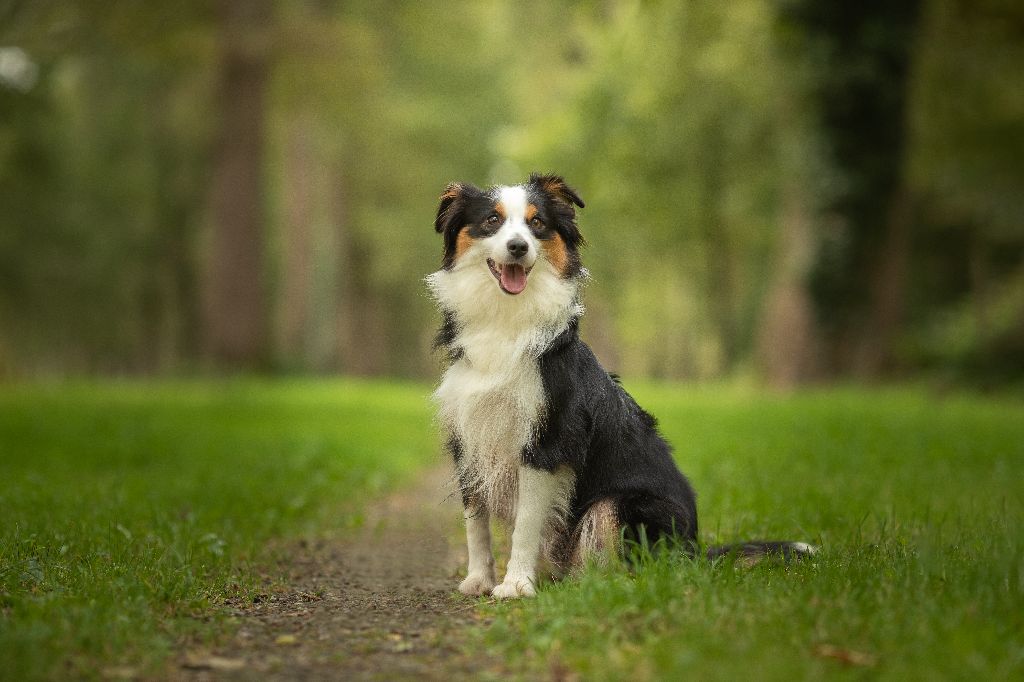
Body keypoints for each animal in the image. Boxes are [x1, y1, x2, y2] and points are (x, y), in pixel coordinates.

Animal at [425, 174, 815, 593]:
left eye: (537, 223)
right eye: (492, 220)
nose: (519, 247)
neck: (506, 318)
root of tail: (695, 550)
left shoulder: (547, 441)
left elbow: (527, 524)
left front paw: (515, 586)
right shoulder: (469, 438)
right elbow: (475, 520)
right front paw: (479, 580)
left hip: (621, 503)